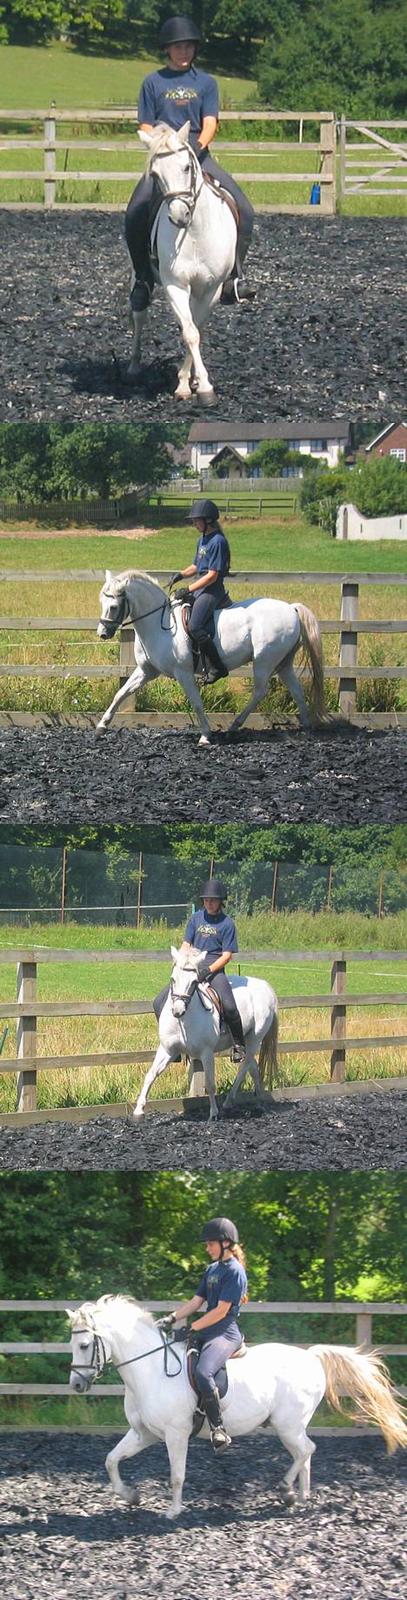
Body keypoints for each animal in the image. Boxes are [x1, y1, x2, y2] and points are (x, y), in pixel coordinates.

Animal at [68, 1292, 407, 1516]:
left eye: (84, 1345)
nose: (76, 1385)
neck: (151, 1370)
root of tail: (311, 1356)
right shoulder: (144, 1433)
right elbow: (111, 1460)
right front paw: (130, 1496)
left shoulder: (176, 1435)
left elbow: (177, 1475)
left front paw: (173, 1511)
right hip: (291, 1427)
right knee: (306, 1453)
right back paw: (300, 1497)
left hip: (287, 1425)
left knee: (306, 1450)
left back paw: (286, 1490)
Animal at [96, 572, 323, 745]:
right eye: (101, 602)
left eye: (113, 606)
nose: (102, 633)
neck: (160, 625)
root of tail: (291, 608)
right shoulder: (146, 671)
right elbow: (121, 694)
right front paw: (101, 727)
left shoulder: (183, 673)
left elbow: (196, 702)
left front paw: (205, 735)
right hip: (283, 663)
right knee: (296, 690)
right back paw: (307, 729)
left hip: (264, 661)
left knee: (260, 692)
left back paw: (234, 726)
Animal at [127, 120, 235, 403]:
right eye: (155, 174)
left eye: (187, 167)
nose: (179, 215)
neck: (195, 232)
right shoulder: (175, 285)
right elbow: (190, 332)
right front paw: (199, 387)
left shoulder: (211, 289)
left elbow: (196, 328)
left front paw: (194, 382)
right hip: (141, 280)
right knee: (139, 315)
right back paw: (133, 368)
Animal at [132, 940, 278, 1120]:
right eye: (173, 979)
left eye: (194, 982)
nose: (178, 1010)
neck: (184, 1021)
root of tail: (266, 987)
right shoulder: (167, 1050)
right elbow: (151, 1075)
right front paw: (138, 1111)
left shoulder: (206, 1052)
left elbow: (210, 1083)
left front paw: (213, 1114)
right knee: (253, 1068)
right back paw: (258, 1102)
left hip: (254, 1039)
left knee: (244, 1066)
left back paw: (229, 1101)